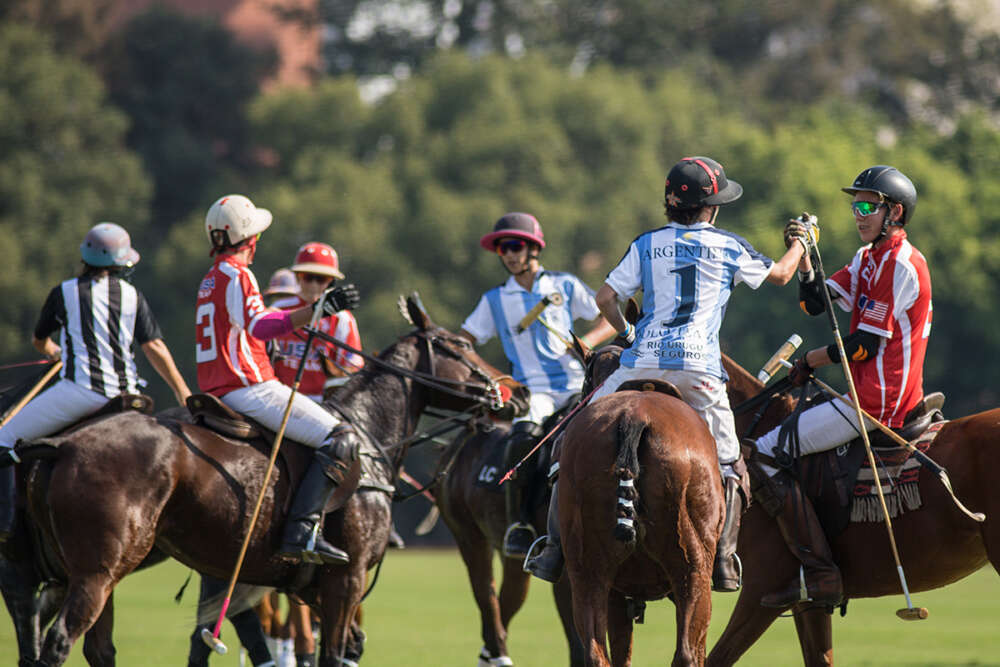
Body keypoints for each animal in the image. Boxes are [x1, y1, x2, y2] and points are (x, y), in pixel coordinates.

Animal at [11, 298, 528, 667]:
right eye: (458, 345)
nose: (517, 392)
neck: (367, 433)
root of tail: (60, 447)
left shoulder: (309, 589)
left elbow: (339, 647)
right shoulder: (345, 578)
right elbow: (331, 655)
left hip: (82, 569)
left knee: (70, 642)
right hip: (98, 571)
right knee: (57, 641)